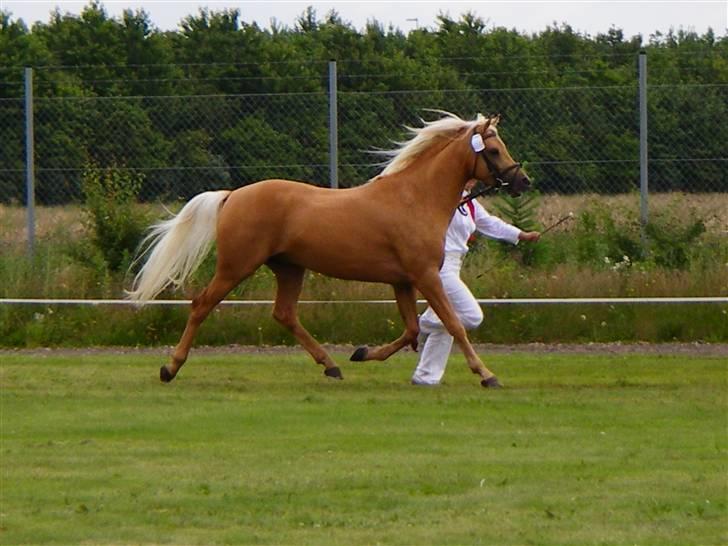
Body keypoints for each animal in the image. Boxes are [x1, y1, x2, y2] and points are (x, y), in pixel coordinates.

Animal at [128, 111, 528, 386]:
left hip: (289, 268)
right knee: (201, 306)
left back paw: (331, 365)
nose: (522, 181)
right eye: (494, 150)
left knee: (284, 314)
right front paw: (487, 374)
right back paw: (170, 367)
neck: (415, 198)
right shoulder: (426, 276)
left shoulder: (402, 281)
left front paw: (362, 353)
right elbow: (454, 324)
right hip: (235, 267)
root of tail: (233, 196)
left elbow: (413, 330)